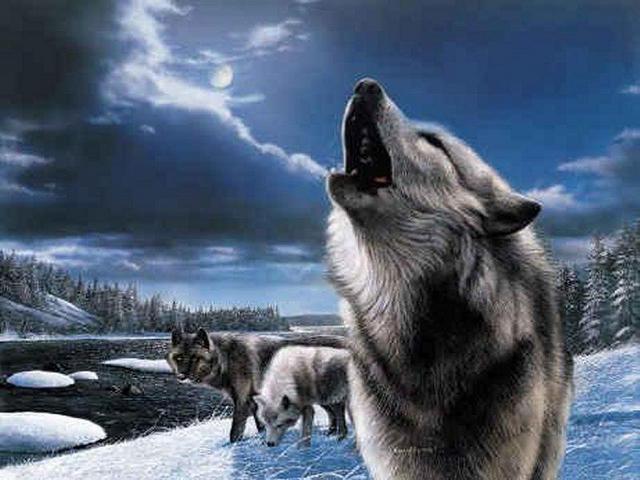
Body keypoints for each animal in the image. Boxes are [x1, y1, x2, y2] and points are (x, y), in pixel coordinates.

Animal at [167, 328, 348, 443]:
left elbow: (235, 431)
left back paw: (340, 437)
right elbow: (260, 423)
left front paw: (233, 445)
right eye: (179, 358)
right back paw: (330, 434)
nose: (181, 376)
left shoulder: (241, 401)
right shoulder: (254, 401)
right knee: (333, 413)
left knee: (339, 411)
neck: (225, 358)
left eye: (195, 358)